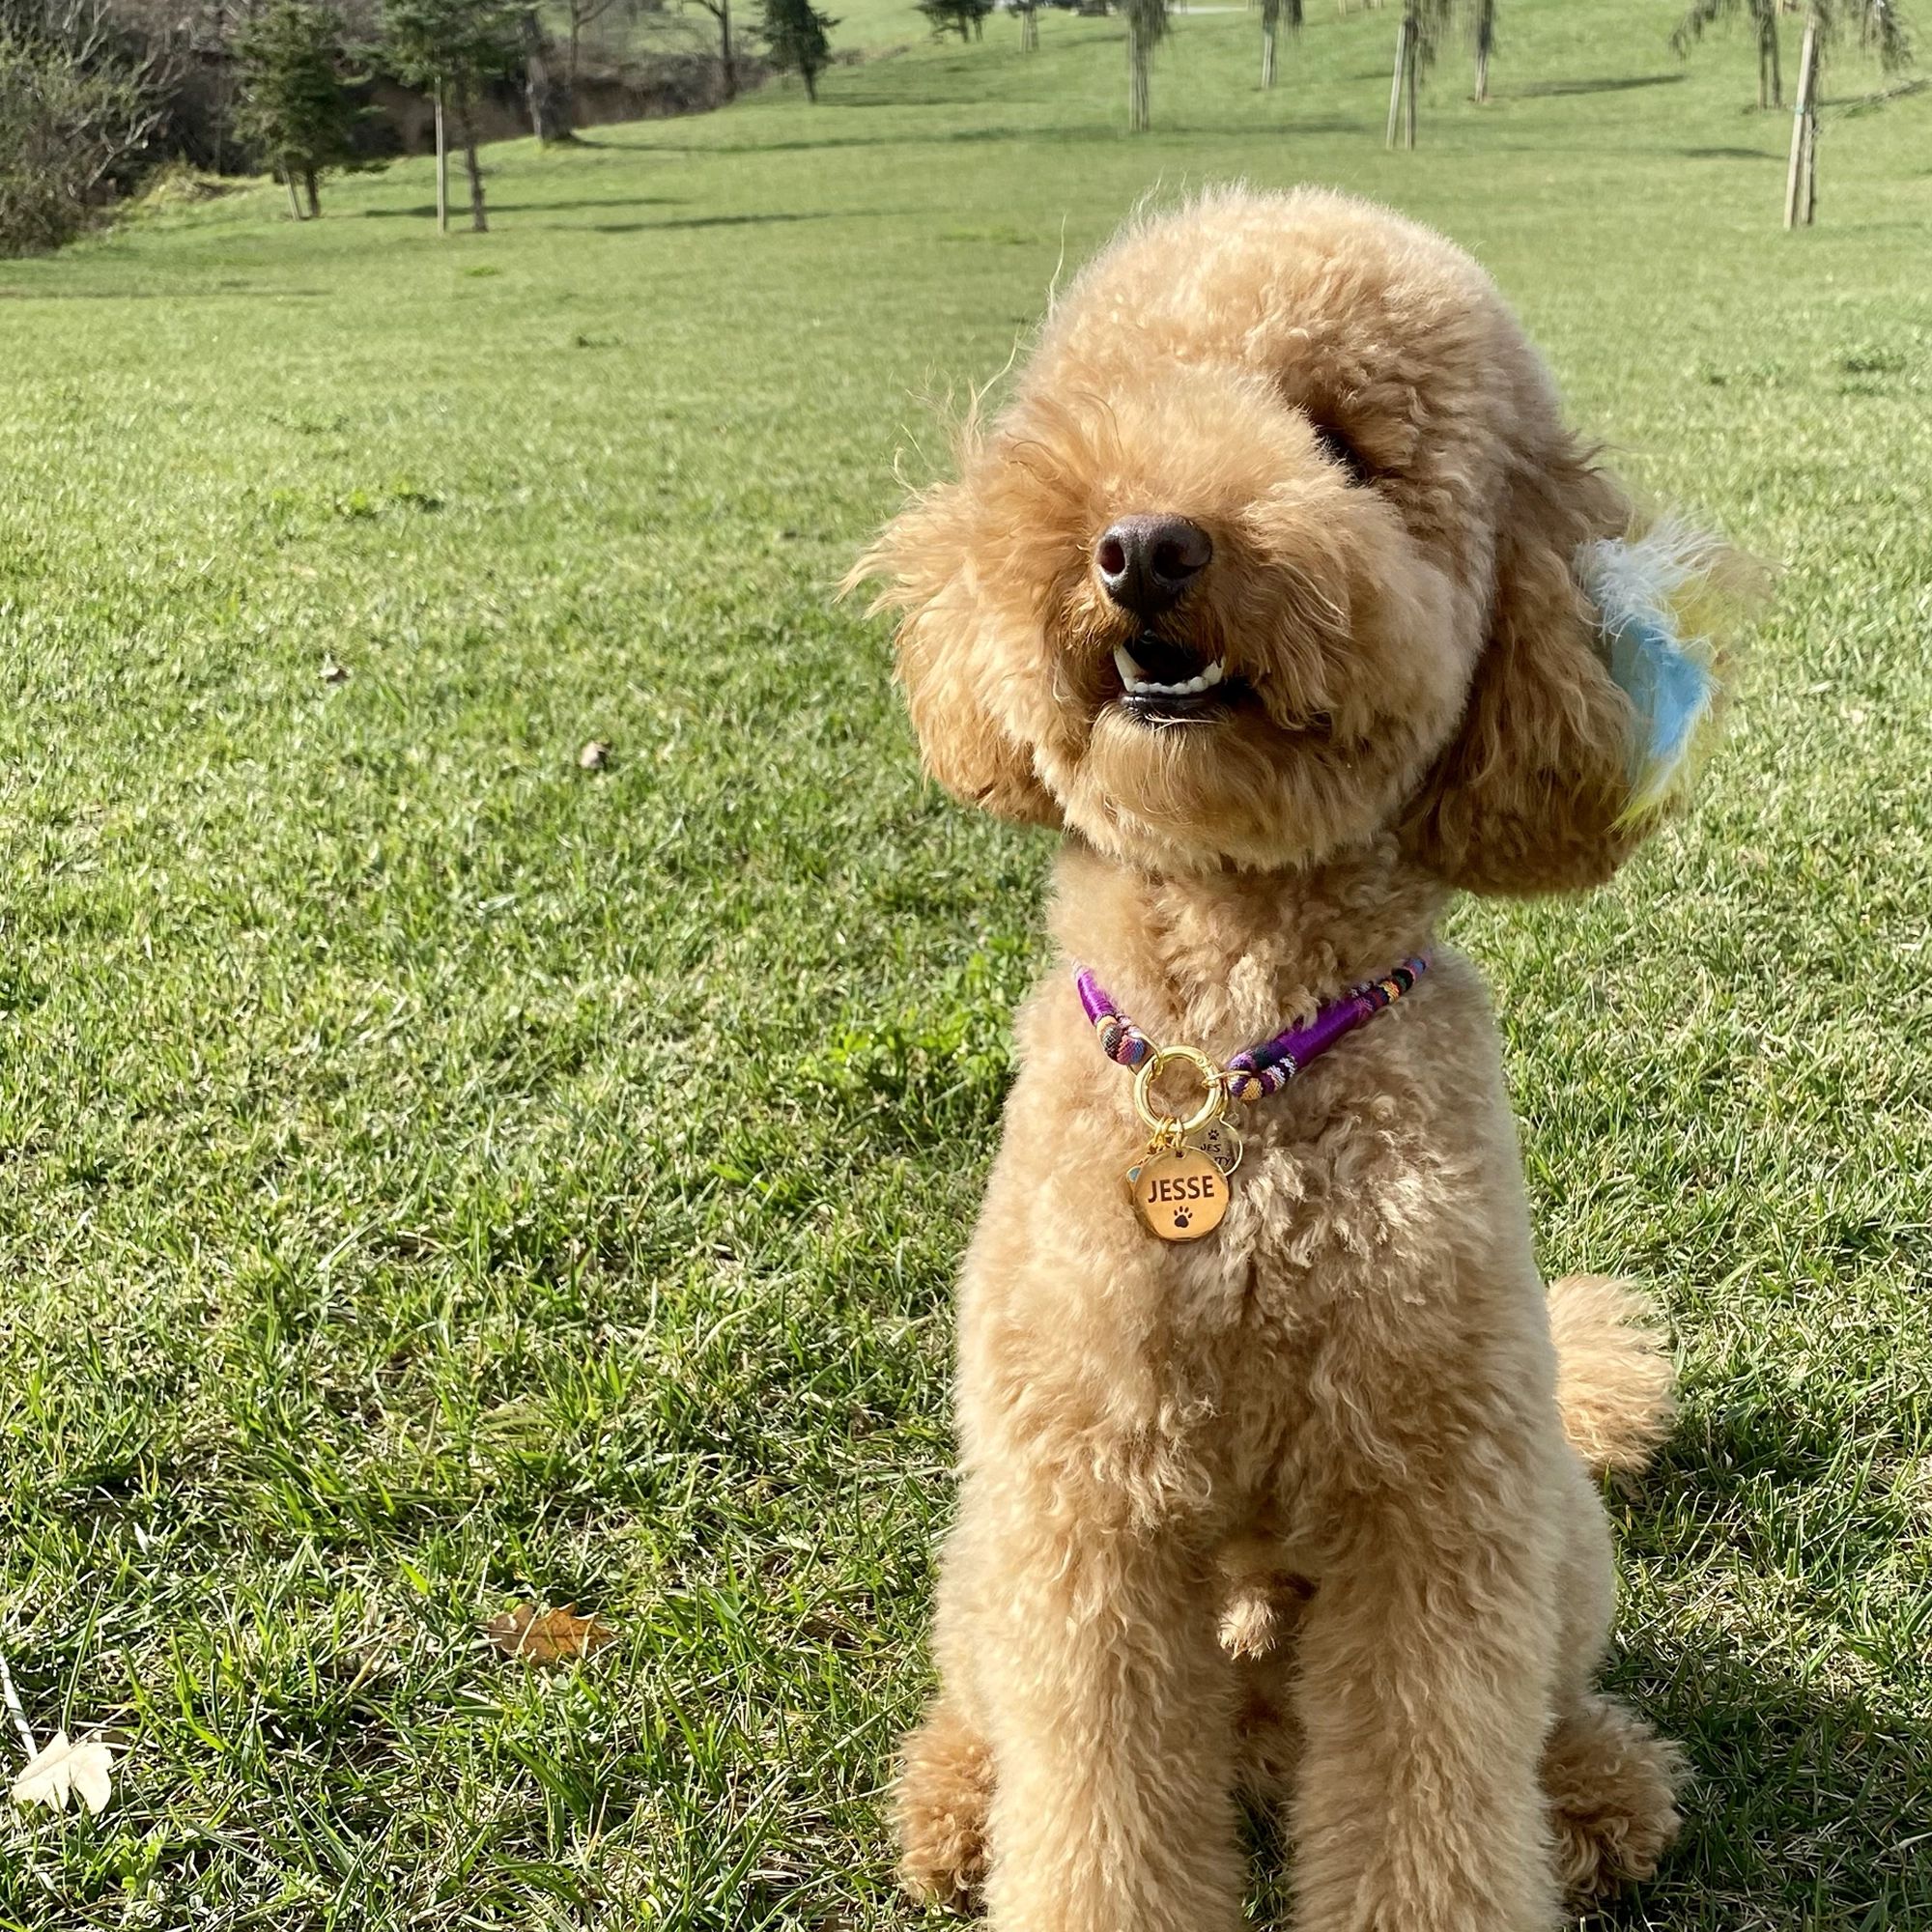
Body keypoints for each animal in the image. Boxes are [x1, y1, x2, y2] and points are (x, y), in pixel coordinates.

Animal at [854, 185, 1731, 1932]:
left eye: (1344, 443)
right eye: (1115, 414)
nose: (1146, 545)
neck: (1236, 1054)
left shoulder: (1437, 1504)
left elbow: (1431, 1799)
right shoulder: (1085, 1500)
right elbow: (1098, 1803)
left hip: (1556, 1528)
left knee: (1540, 1711)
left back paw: (1596, 1794)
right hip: (984, 1555)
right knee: (1001, 1704)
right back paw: (961, 1800)